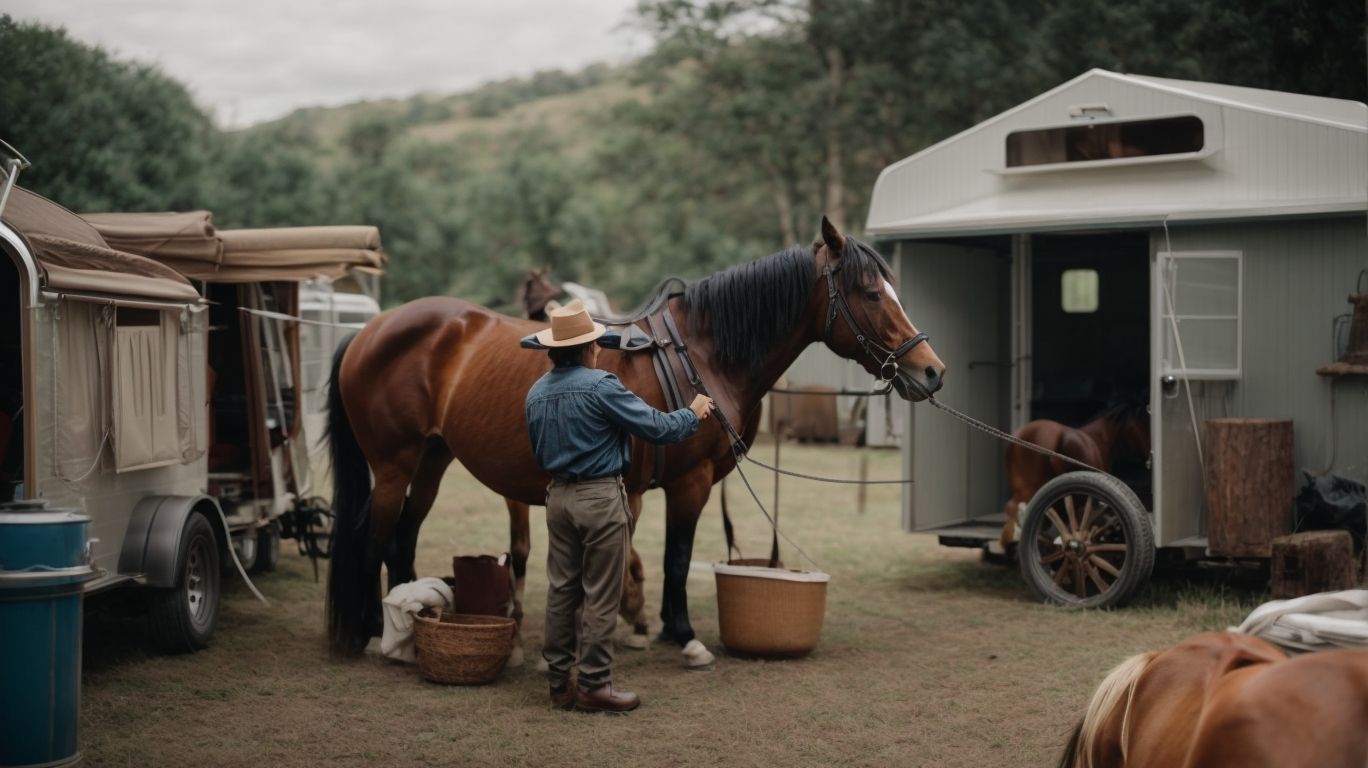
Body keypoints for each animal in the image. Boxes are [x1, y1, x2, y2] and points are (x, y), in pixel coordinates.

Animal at [325, 217, 946, 663]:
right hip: (394, 464)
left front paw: (655, 626)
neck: (703, 354)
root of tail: (370, 331)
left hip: (433, 458)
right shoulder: (689, 483)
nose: (932, 371)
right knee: (376, 538)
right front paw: (684, 634)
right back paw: (375, 630)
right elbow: (677, 557)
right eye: (870, 294)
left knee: (403, 539)